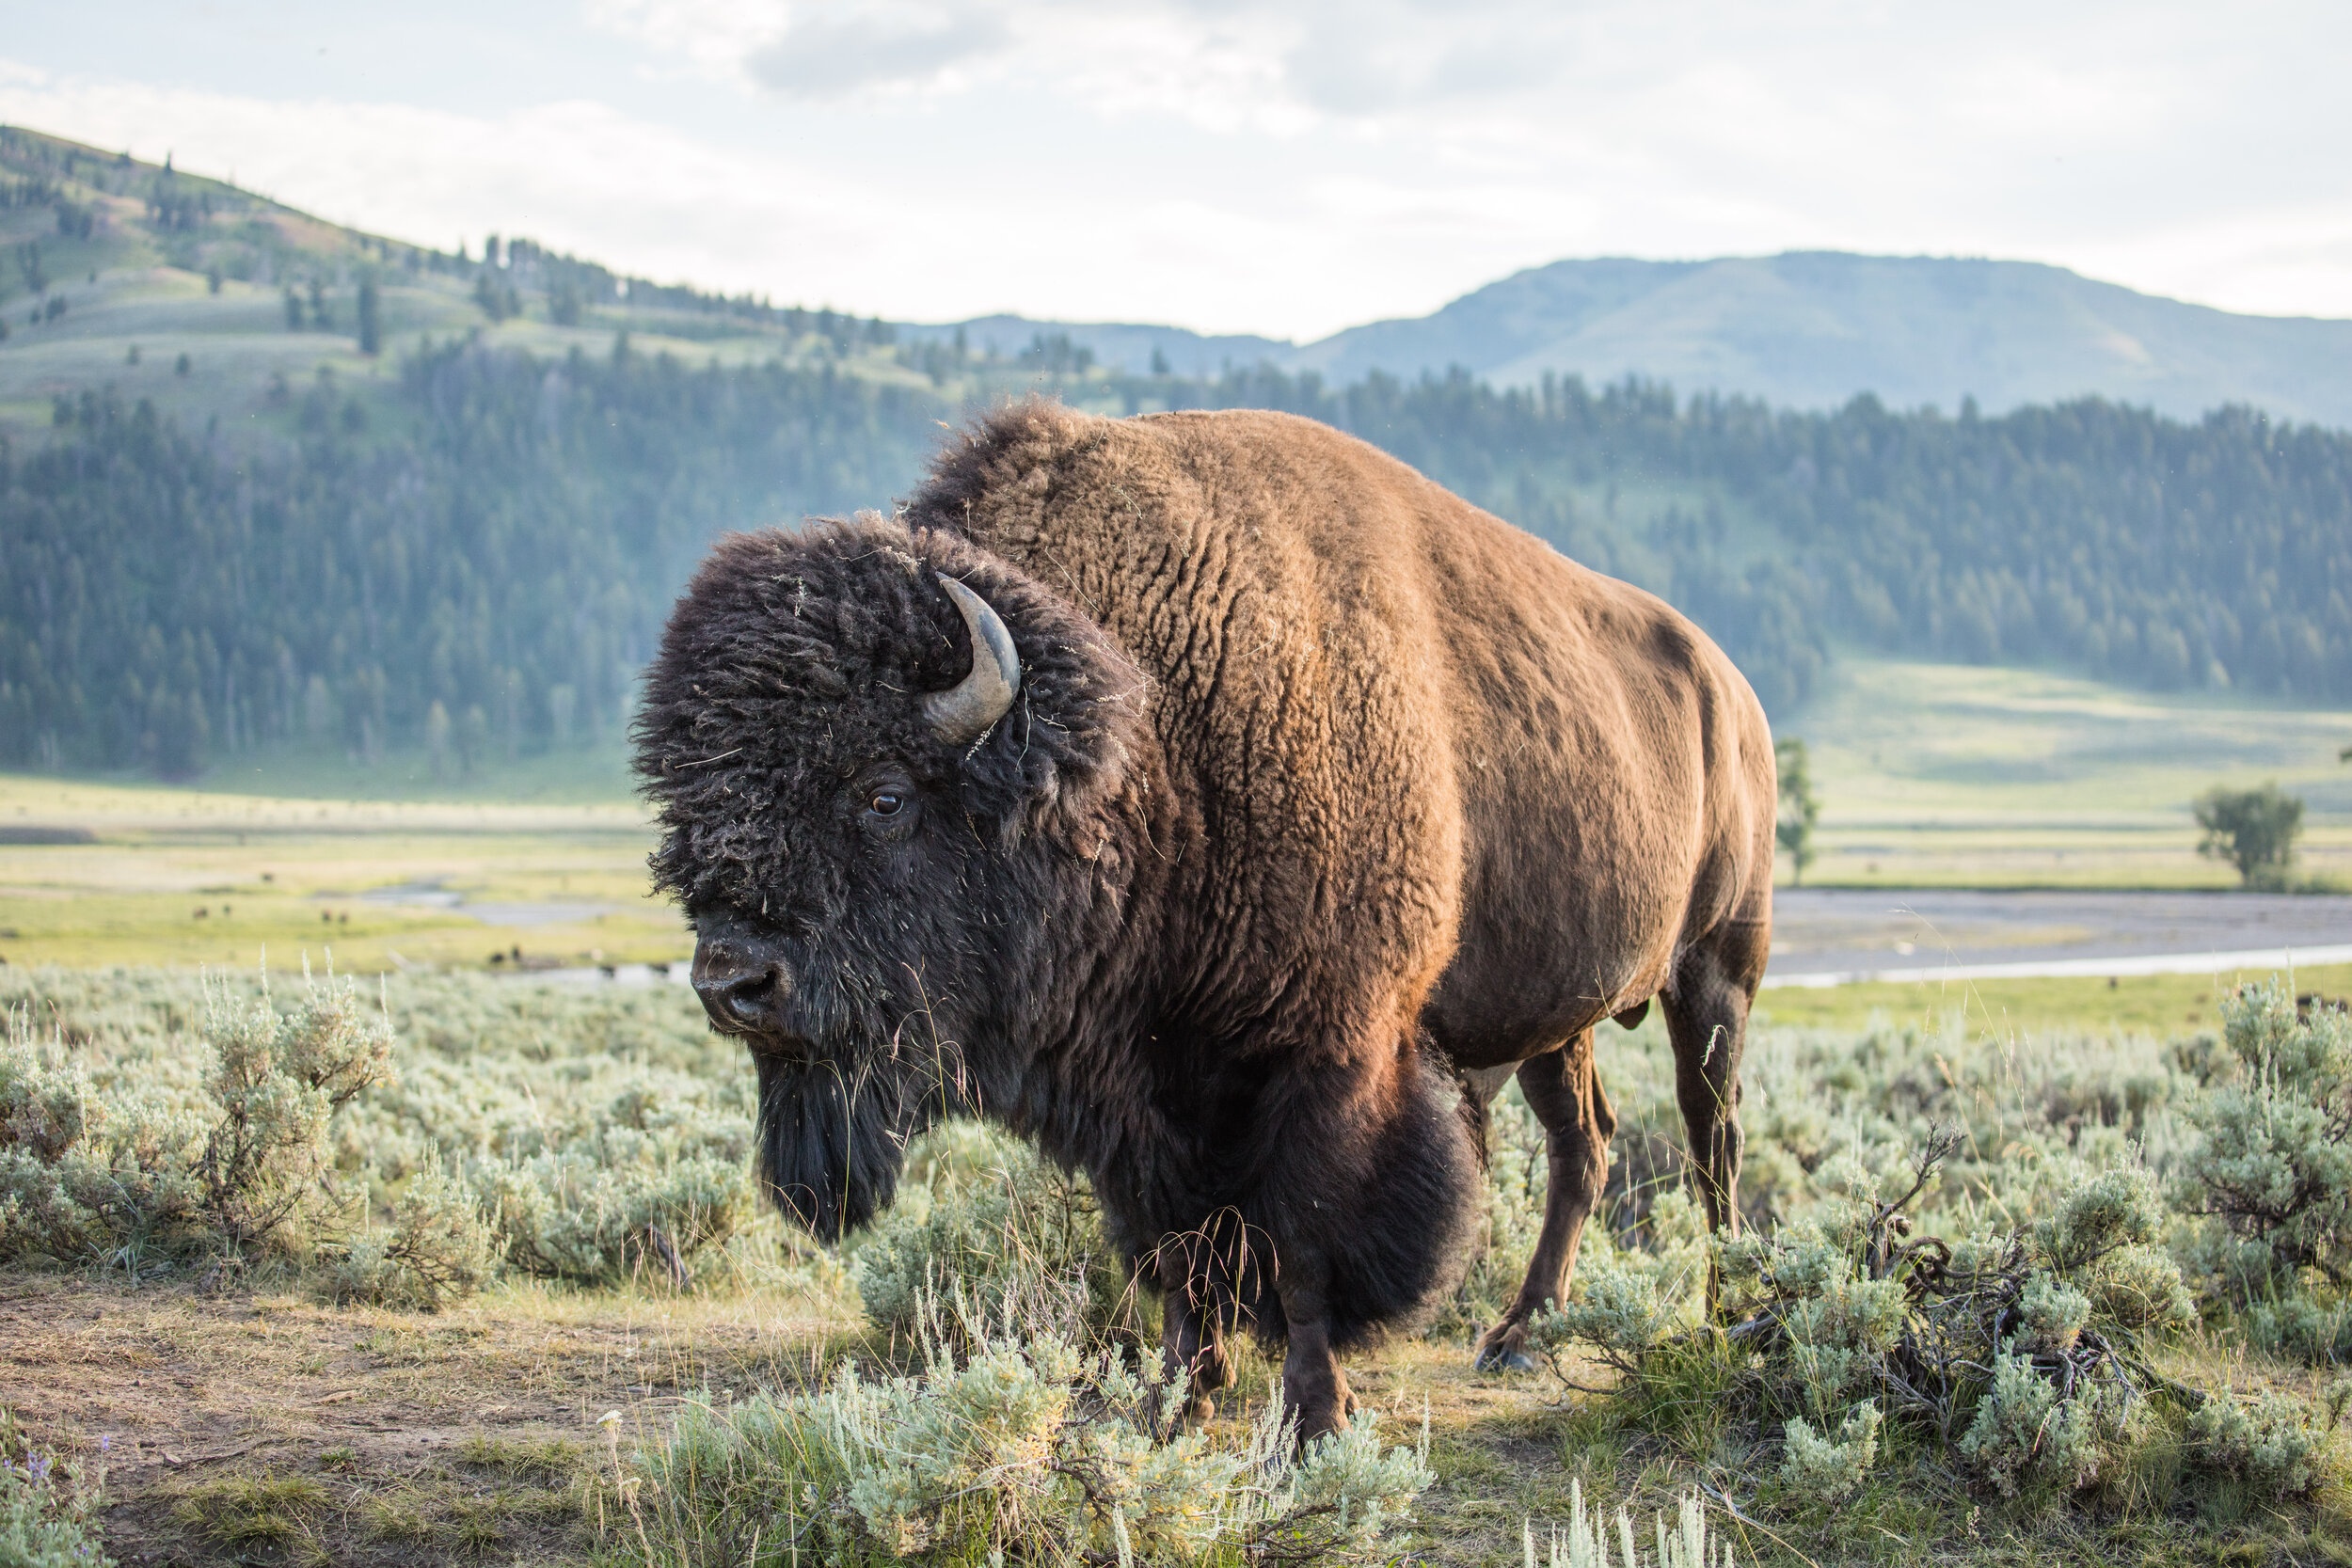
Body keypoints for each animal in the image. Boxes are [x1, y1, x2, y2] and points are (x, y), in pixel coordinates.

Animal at [635, 402, 1776, 1441]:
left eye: (882, 793)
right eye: (688, 814)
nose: (733, 981)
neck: (1152, 734)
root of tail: (1734, 692)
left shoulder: (1327, 1055)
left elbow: (1302, 1240)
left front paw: (1314, 1416)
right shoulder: (1144, 1093)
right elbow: (1179, 1246)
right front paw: (1177, 1399)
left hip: (1716, 975)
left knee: (1711, 1135)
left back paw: (1730, 1308)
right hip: (1556, 1017)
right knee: (1587, 1142)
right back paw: (1521, 1332)